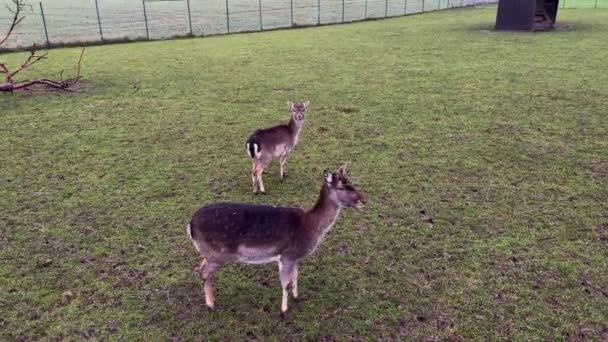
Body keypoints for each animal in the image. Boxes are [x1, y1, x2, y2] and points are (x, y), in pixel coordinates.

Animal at [185, 164, 366, 316]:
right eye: (341, 186)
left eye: (351, 182)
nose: (363, 200)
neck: (310, 226)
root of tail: (190, 225)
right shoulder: (287, 255)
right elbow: (285, 283)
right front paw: (284, 311)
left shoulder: (294, 257)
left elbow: (295, 275)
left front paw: (297, 297)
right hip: (217, 254)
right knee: (203, 271)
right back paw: (211, 305)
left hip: (210, 254)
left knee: (202, 269)